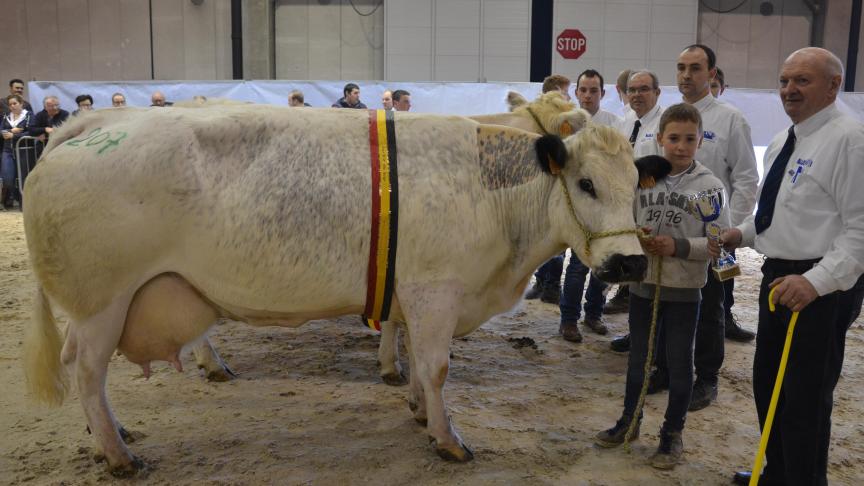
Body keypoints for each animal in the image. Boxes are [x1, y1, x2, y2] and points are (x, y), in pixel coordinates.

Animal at [22, 104, 646, 476]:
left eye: (639, 185)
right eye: (586, 184)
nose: (631, 261)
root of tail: (95, 125)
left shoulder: (412, 293)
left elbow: (416, 358)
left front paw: (417, 409)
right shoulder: (436, 290)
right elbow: (437, 366)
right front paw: (447, 438)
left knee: (83, 368)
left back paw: (111, 431)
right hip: (102, 300)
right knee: (87, 371)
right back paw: (119, 453)